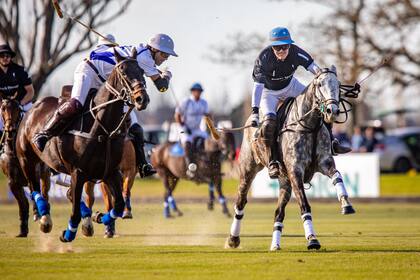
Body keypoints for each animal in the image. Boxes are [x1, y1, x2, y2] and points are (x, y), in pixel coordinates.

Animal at [0, 94, 50, 236]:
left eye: (17, 109)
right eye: (3, 108)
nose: (10, 129)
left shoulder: (38, 174)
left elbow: (38, 193)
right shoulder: (13, 182)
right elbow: (23, 204)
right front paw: (23, 230)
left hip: (44, 174)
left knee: (44, 193)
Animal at [15, 49, 149, 242]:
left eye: (141, 71)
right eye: (123, 72)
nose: (141, 99)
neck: (102, 129)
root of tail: (32, 107)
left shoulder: (110, 172)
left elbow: (117, 206)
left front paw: (98, 217)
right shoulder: (78, 172)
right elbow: (75, 211)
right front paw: (69, 233)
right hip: (26, 159)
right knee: (35, 188)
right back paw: (44, 218)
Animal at [226, 66, 354, 250]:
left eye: (338, 84)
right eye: (319, 84)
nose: (332, 111)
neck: (309, 125)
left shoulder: (325, 162)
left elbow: (337, 176)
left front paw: (346, 204)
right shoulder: (295, 171)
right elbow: (304, 205)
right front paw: (312, 239)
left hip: (284, 182)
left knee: (278, 213)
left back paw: (275, 245)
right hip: (248, 170)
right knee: (241, 202)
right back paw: (233, 239)